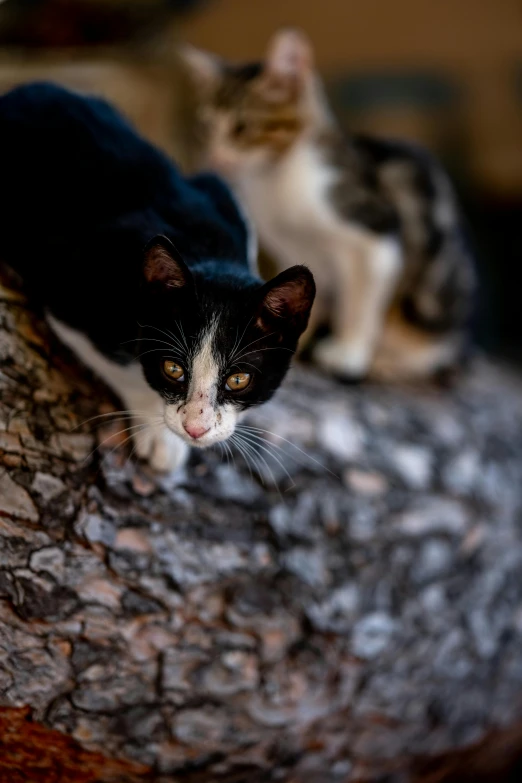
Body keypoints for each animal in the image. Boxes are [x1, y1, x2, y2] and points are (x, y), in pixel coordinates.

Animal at [0, 81, 312, 472]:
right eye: (173, 368)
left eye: (239, 379)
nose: (195, 428)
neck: (207, 248)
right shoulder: (69, 282)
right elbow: (123, 366)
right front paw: (160, 434)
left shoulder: (221, 194)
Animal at [184, 29, 476, 382]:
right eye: (206, 128)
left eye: (243, 127)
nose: (216, 159)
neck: (275, 178)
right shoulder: (301, 253)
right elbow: (306, 299)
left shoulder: (376, 233)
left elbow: (360, 302)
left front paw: (348, 351)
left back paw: (388, 363)